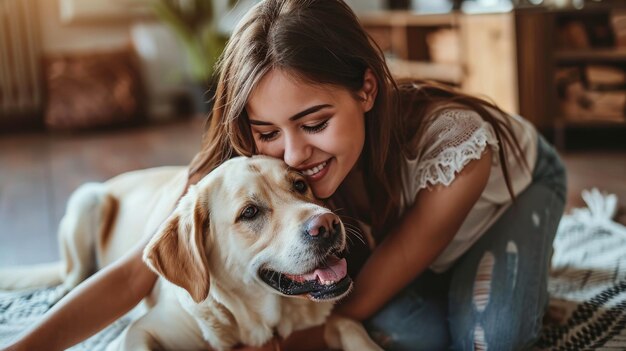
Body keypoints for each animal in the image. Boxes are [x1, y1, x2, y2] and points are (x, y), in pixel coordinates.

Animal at [0, 157, 380, 351]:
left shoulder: (321, 324)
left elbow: (348, 324)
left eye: (300, 185)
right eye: (250, 213)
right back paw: (63, 290)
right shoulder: (141, 332)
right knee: (74, 271)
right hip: (86, 197)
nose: (328, 225)